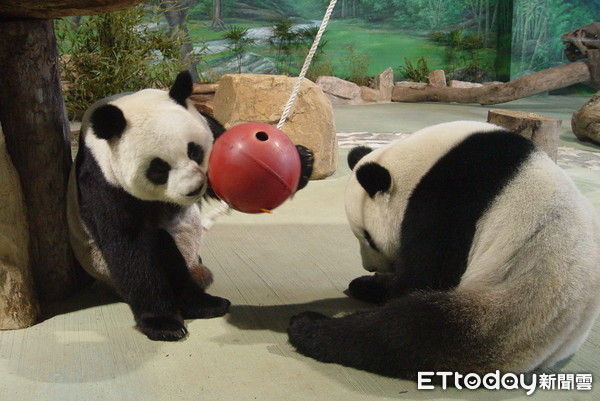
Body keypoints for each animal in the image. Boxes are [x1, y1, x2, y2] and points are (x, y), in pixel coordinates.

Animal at [68, 70, 314, 340]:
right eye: (158, 169)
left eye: (194, 151)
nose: (194, 190)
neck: (127, 104)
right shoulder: (104, 180)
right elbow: (128, 245)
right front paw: (163, 324)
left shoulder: (208, 126)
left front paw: (303, 160)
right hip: (100, 264)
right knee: (162, 250)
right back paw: (194, 304)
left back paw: (208, 304)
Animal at [288, 121, 596, 378]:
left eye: (368, 238)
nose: (371, 267)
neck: (423, 162)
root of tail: (545, 355)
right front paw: (370, 281)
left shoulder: (452, 196)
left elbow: (426, 276)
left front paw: (378, 286)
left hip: (504, 313)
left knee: (406, 332)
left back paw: (310, 328)